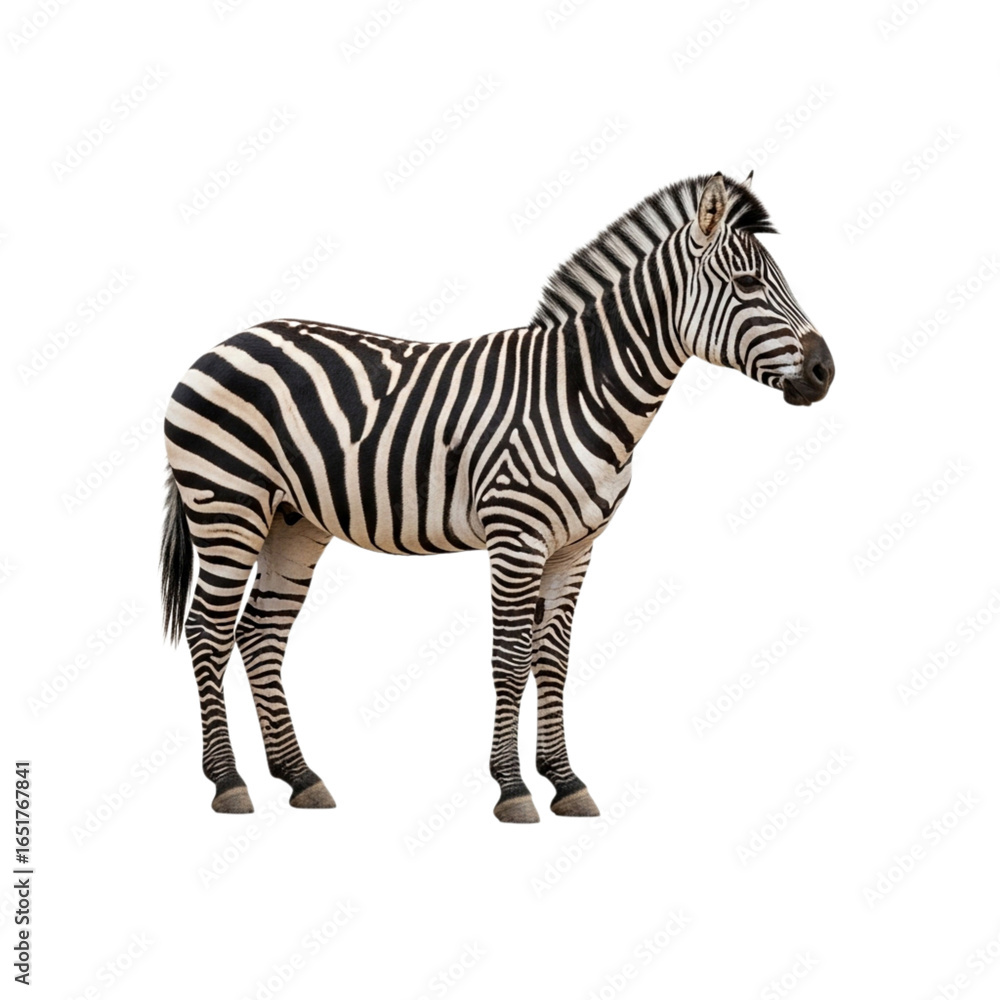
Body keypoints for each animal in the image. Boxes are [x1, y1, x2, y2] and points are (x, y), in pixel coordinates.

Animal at [160, 172, 834, 822]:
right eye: (748, 283)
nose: (826, 372)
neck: (580, 392)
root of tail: (227, 341)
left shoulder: (575, 548)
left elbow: (553, 660)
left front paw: (565, 782)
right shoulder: (517, 536)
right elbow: (509, 657)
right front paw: (512, 789)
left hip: (292, 520)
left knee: (260, 633)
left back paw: (300, 777)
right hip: (228, 505)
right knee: (207, 629)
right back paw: (229, 782)